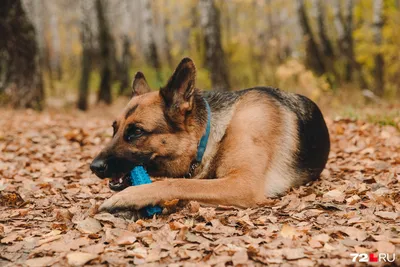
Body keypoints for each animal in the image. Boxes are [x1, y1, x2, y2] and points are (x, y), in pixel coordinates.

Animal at [91, 57, 332, 213]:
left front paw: (128, 196)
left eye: (137, 132)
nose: (94, 167)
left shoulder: (242, 183)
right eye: (114, 129)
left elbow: (177, 184)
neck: (210, 138)